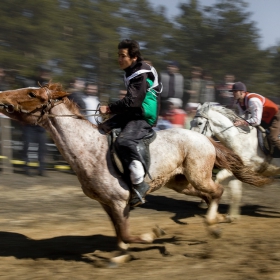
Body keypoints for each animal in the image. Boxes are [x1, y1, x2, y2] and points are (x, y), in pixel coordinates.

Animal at [0, 83, 270, 252]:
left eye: (32, 93)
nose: (2, 95)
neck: (89, 148)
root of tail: (206, 139)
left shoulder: (119, 201)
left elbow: (128, 235)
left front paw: (154, 234)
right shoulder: (108, 203)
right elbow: (121, 237)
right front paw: (120, 254)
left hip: (198, 176)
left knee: (217, 191)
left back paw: (214, 224)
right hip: (181, 183)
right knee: (210, 195)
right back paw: (219, 219)